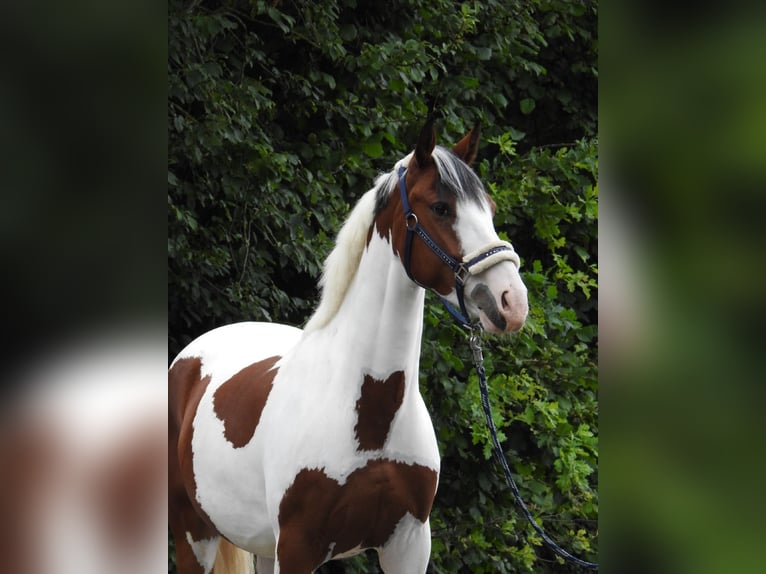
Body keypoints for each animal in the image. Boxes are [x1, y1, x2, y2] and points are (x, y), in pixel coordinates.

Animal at [169, 122, 529, 574]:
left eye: (490, 209)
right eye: (441, 208)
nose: (511, 302)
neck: (368, 416)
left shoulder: (409, 546)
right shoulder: (298, 548)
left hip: (261, 544)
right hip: (193, 530)